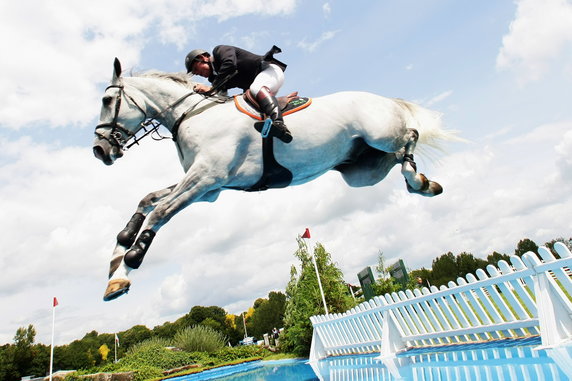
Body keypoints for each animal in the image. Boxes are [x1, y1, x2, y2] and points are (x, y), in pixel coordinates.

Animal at [91, 58, 454, 300]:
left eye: (107, 100)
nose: (99, 150)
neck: (191, 115)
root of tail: (383, 98)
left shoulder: (205, 178)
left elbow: (160, 212)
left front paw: (124, 270)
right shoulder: (208, 188)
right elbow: (148, 199)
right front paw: (119, 250)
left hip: (380, 136)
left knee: (411, 134)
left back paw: (419, 180)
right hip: (363, 171)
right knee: (399, 157)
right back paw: (423, 182)